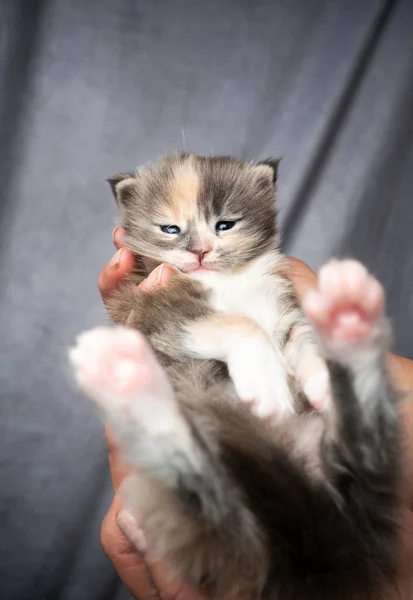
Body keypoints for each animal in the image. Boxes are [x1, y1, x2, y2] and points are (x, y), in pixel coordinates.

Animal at [68, 156, 402, 600]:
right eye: (170, 229)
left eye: (224, 224)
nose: (199, 252)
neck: (226, 281)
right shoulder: (152, 310)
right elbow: (241, 324)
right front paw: (268, 387)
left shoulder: (282, 306)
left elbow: (303, 339)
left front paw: (320, 381)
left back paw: (350, 316)